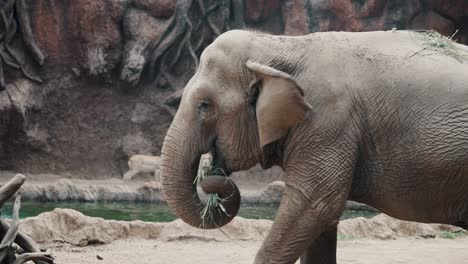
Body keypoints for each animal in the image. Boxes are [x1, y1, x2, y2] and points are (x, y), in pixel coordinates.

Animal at [160, 29, 468, 264]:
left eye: (204, 105)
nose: (211, 174)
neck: (282, 45)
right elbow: (321, 219)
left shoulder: (328, 121)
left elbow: (314, 204)